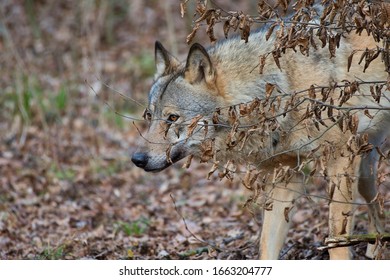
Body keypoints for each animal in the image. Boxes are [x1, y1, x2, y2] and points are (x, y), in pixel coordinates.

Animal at [132, 22, 390, 260]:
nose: (137, 159)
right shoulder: (284, 175)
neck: (284, 86)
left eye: (172, 118)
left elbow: (337, 239)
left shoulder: (340, 160)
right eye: (149, 116)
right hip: (365, 166)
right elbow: (267, 245)